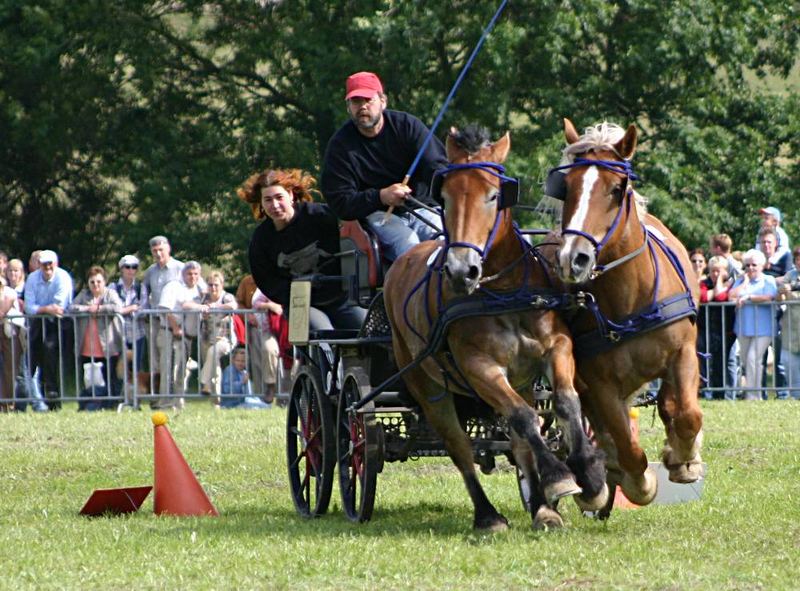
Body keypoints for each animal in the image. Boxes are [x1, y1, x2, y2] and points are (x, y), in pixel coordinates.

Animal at [382, 126, 608, 532]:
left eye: (493, 195)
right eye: (444, 195)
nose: (461, 270)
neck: (503, 294)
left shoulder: (556, 347)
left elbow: (564, 403)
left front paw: (589, 478)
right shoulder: (479, 367)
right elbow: (522, 418)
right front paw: (560, 477)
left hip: (521, 381)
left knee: (520, 438)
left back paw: (542, 508)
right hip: (429, 388)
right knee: (460, 446)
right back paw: (488, 515)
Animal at [548, 118, 704, 516]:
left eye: (618, 188)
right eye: (567, 188)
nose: (574, 258)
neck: (629, 301)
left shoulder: (683, 352)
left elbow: (688, 415)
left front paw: (684, 460)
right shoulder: (598, 382)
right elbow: (626, 442)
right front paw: (639, 482)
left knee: (671, 405)